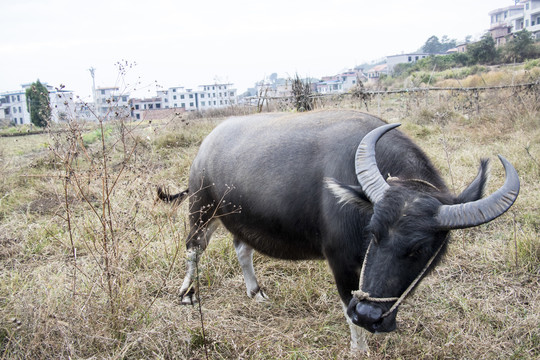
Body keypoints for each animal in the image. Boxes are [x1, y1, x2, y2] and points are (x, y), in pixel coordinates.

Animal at [158, 109, 520, 352]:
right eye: (374, 232)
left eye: (420, 249)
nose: (370, 316)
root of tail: (207, 144)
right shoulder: (341, 262)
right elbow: (348, 309)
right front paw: (359, 348)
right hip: (201, 208)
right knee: (193, 247)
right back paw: (187, 294)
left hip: (239, 218)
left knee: (242, 248)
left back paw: (256, 292)